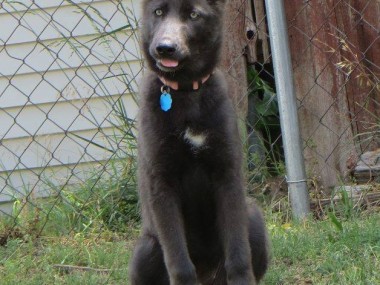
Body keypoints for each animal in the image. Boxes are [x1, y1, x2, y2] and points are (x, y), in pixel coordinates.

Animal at [129, 0, 268, 284]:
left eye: (193, 14)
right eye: (158, 12)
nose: (165, 47)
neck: (185, 92)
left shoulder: (227, 175)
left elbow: (238, 254)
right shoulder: (161, 184)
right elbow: (178, 260)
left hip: (254, 218)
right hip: (146, 249)